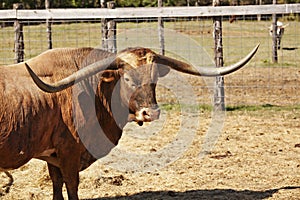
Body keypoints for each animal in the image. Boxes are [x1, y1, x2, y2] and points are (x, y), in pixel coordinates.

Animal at [0, 44, 258, 199]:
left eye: (154, 78)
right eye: (126, 78)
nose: (150, 113)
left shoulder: (53, 156)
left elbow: (57, 186)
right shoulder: (69, 152)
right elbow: (71, 186)